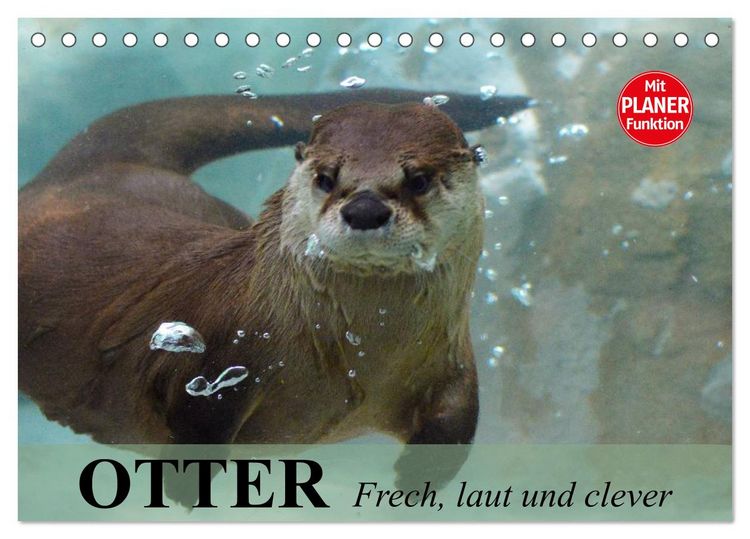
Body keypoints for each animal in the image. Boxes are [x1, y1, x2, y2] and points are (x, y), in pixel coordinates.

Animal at [19, 89, 530, 489]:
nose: (364, 209)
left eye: (419, 179)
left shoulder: (451, 362)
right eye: (326, 177)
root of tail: (83, 173)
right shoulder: (220, 357)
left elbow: (456, 424)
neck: (361, 358)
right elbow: (196, 421)